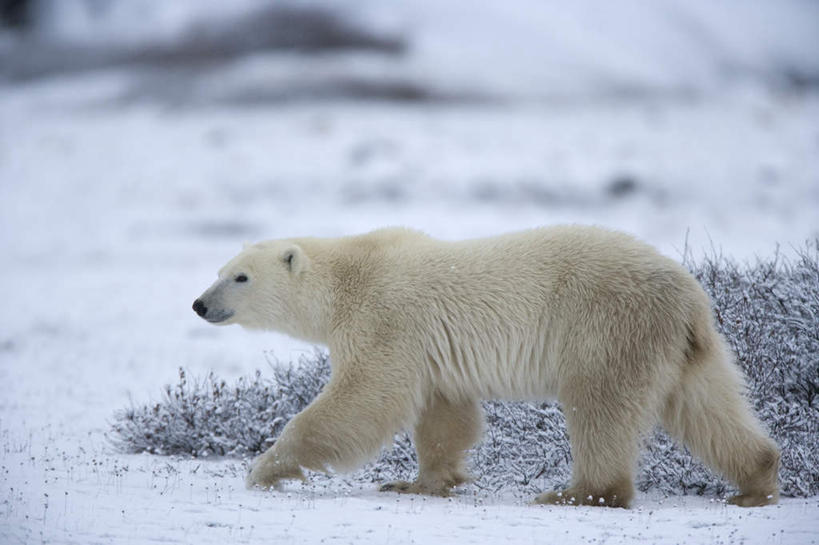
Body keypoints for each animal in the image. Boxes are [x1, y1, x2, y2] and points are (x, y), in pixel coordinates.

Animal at [194, 225, 780, 506]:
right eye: (220, 269)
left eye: (240, 276)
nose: (199, 304)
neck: (349, 276)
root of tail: (690, 296)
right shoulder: (429, 351)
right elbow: (443, 414)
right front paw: (420, 483)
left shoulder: (386, 318)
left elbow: (365, 398)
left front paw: (266, 468)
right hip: (686, 347)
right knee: (708, 406)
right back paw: (754, 482)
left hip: (608, 324)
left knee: (600, 406)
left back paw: (575, 493)